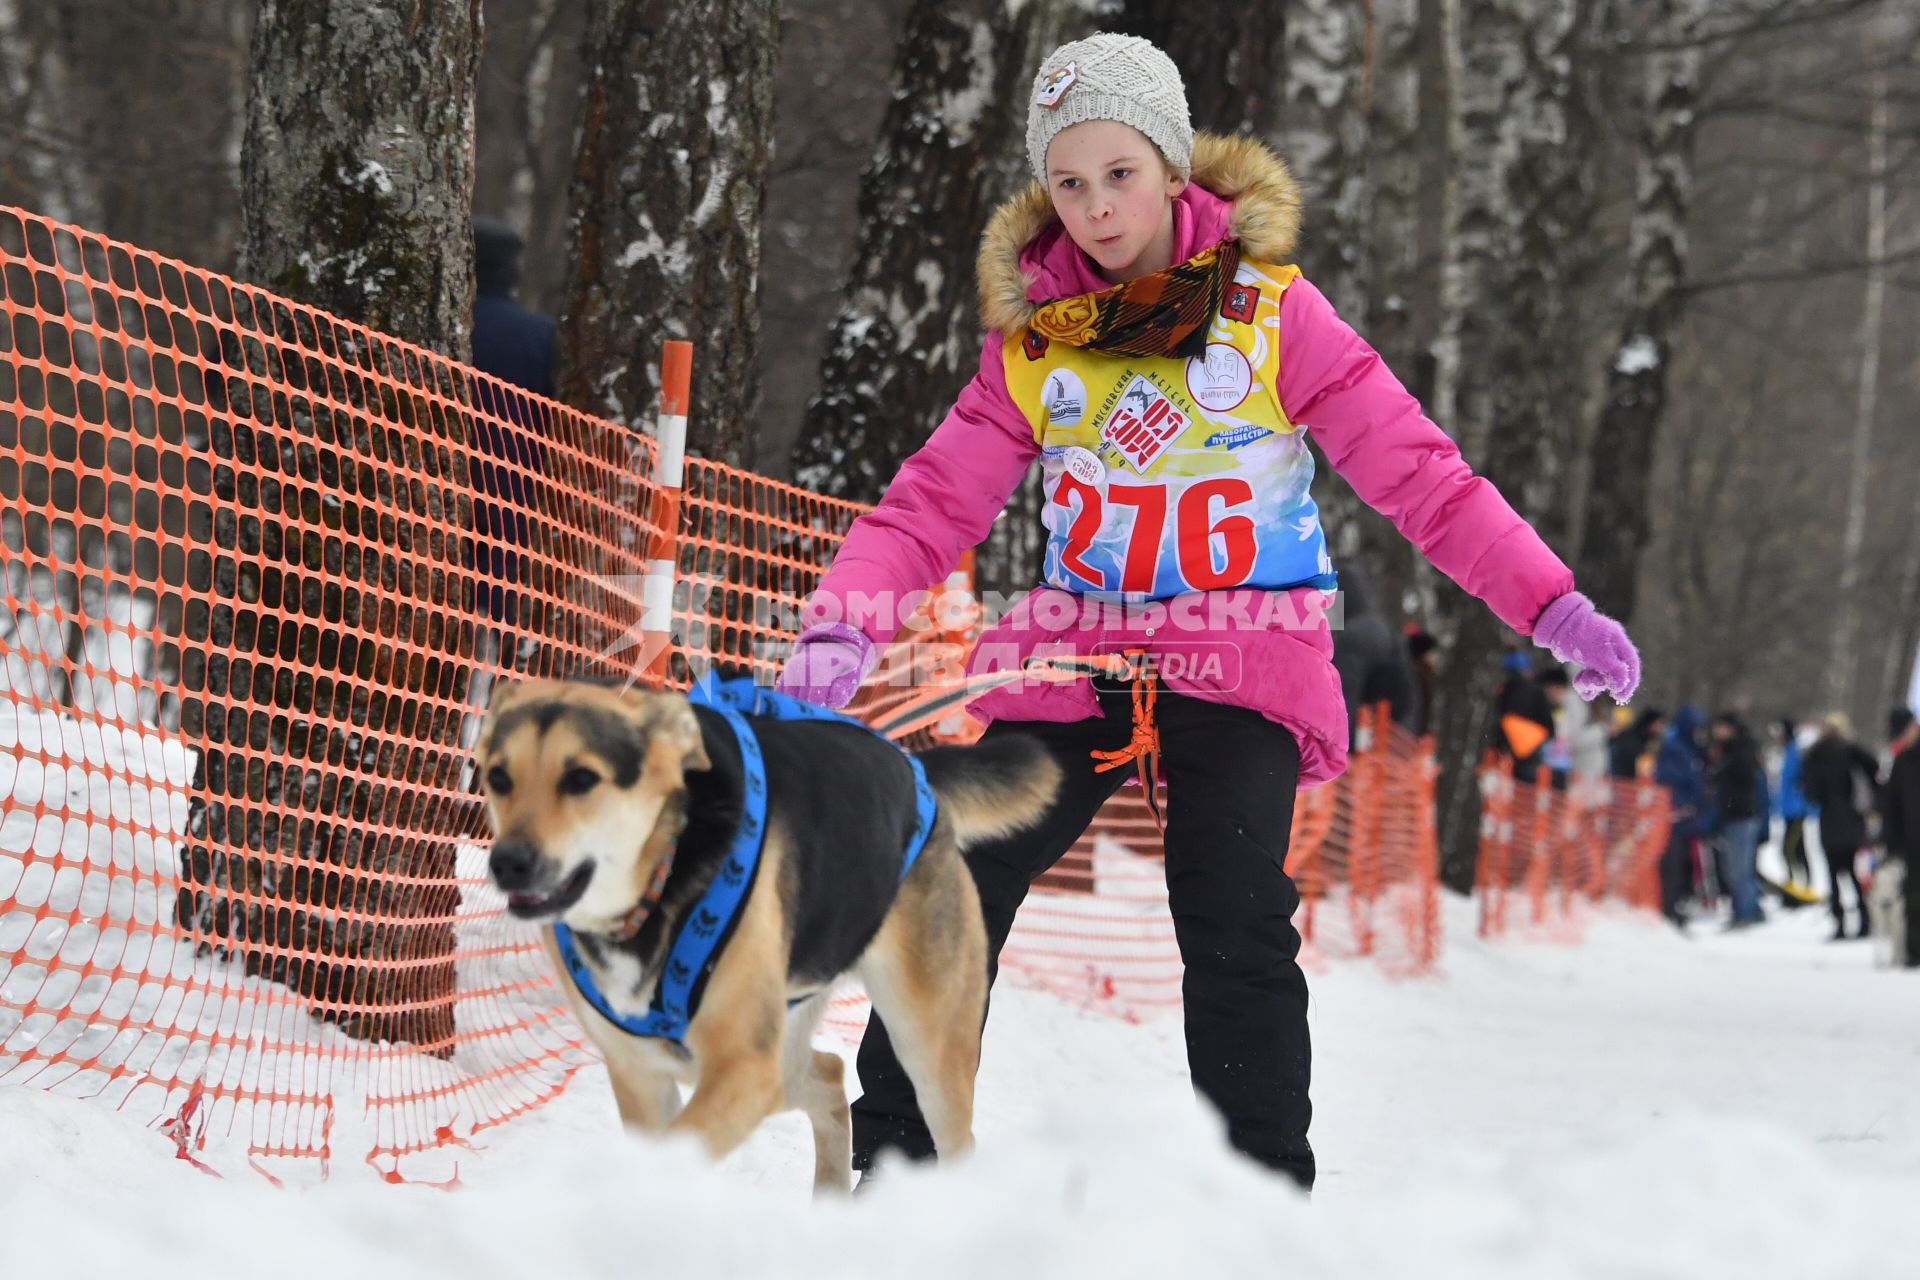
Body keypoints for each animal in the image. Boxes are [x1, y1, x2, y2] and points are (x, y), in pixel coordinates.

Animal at [472, 679, 1059, 1189]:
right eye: (498, 777)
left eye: (581, 779)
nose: (508, 863)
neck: (659, 883)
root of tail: (912, 767)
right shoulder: (642, 1073)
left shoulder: (742, 1068)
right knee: (828, 1075)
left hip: (923, 1038)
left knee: (950, 1129)